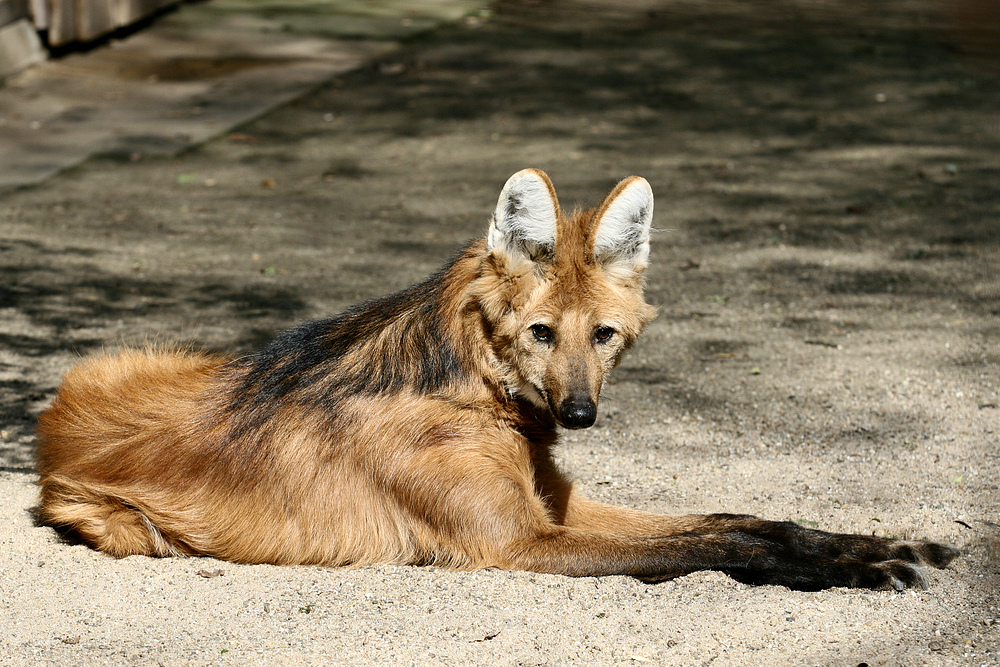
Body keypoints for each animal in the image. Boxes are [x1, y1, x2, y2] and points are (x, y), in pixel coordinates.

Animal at [37, 170, 960, 592]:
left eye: (604, 336)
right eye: (540, 333)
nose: (581, 413)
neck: (479, 393)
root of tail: (47, 429)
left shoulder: (552, 505)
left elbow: (743, 517)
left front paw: (884, 546)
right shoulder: (518, 542)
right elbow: (720, 542)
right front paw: (863, 567)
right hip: (123, 520)